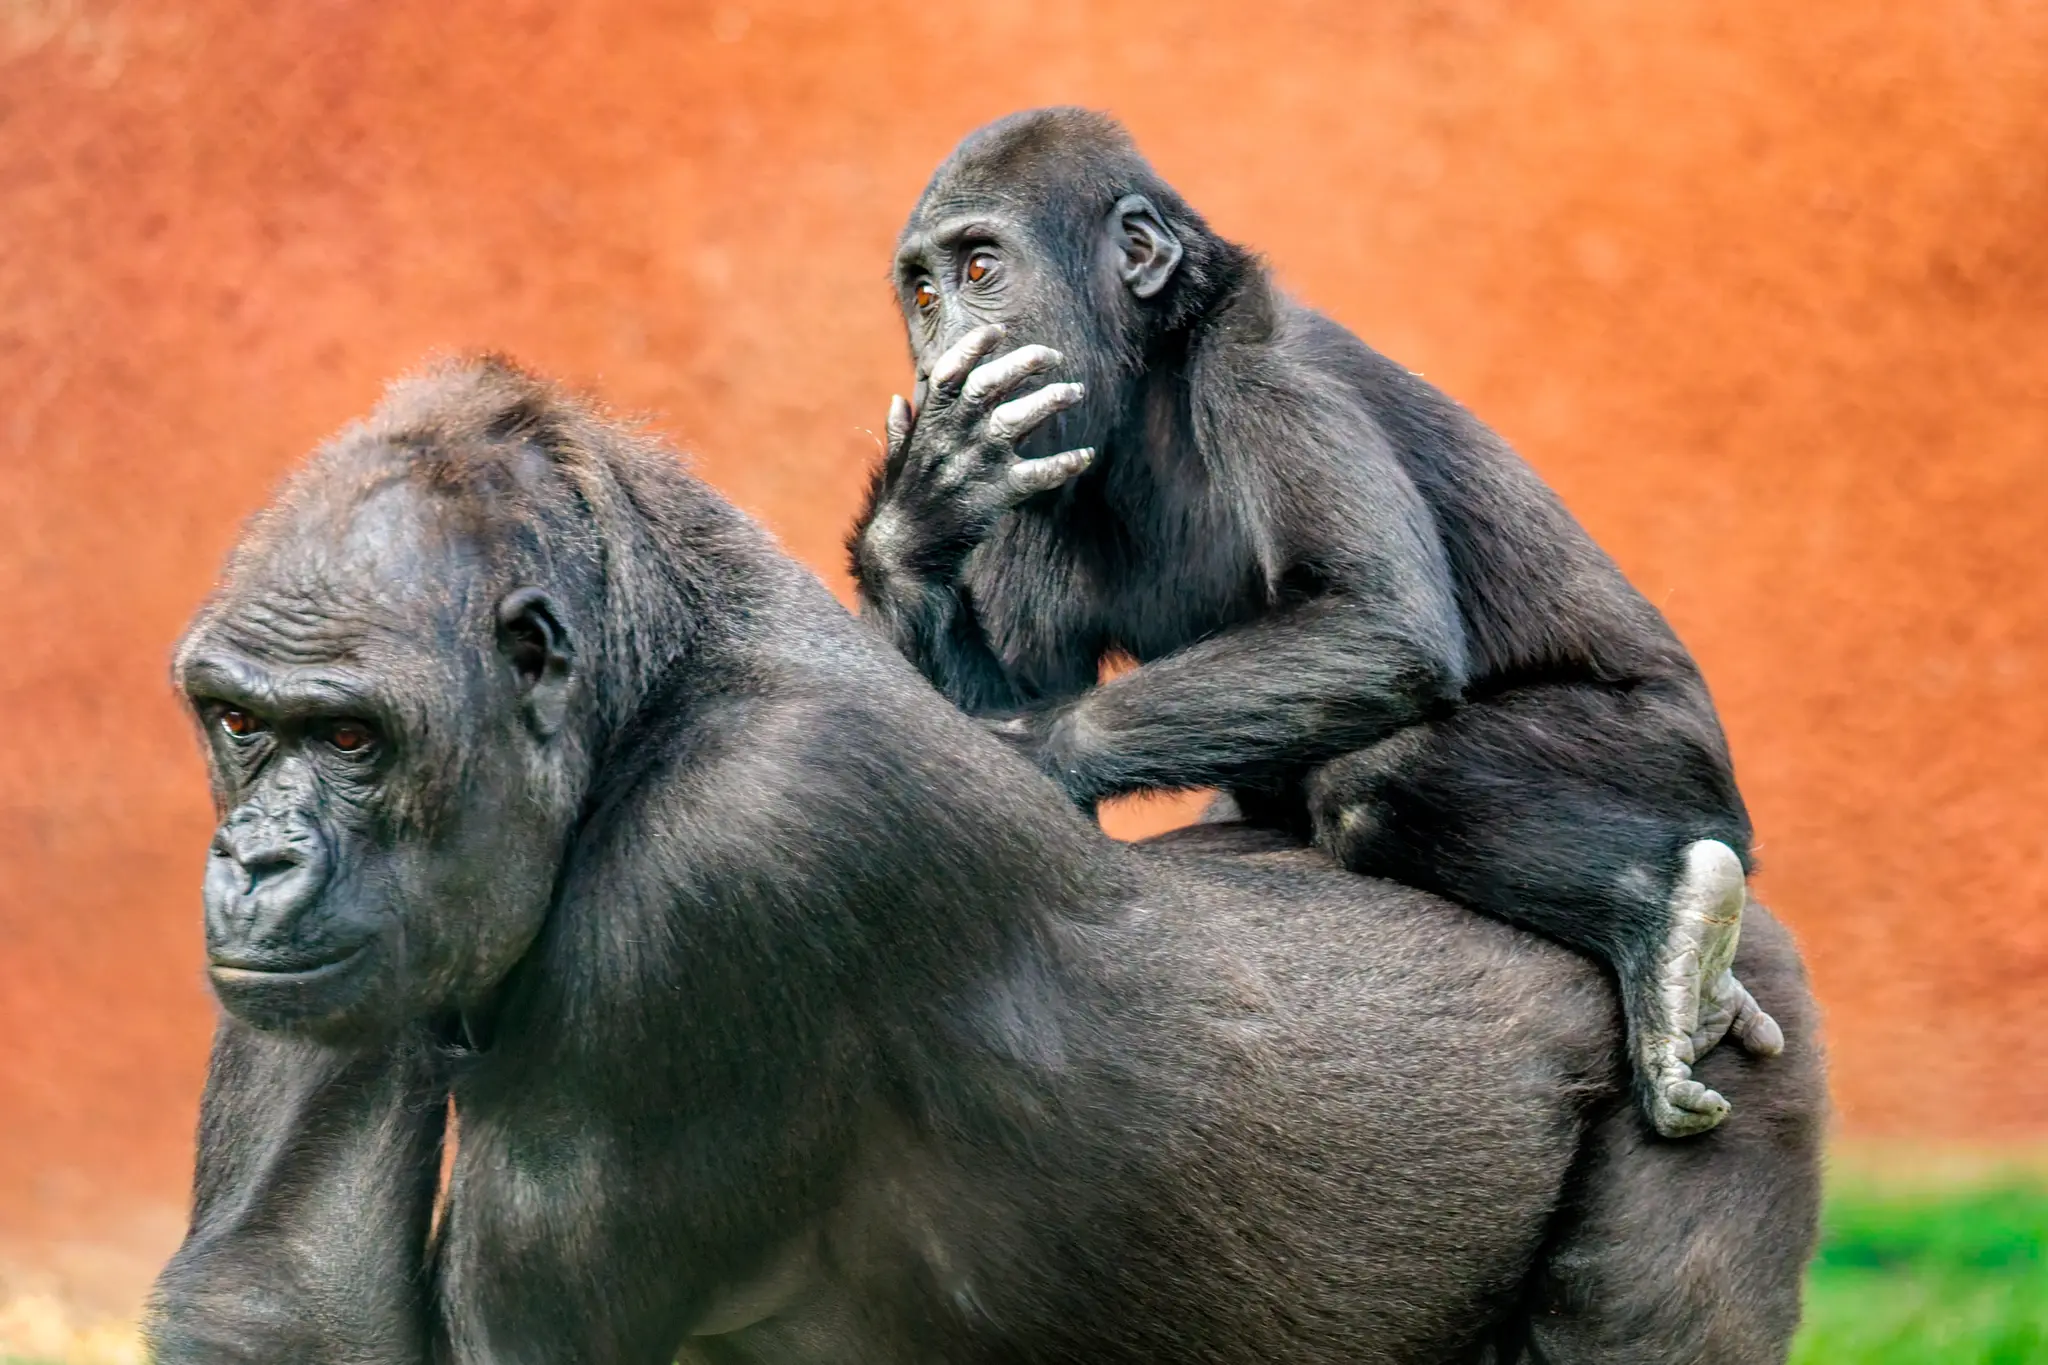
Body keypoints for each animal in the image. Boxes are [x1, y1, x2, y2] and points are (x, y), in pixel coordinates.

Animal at [148, 358, 1823, 1363]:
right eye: (237, 722)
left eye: (354, 738)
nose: (254, 863)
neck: (648, 688)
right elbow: (284, 1292)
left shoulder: (739, 861)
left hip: (1750, 1048)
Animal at [851, 107, 1783, 1138]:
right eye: (922, 293)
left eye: (980, 269)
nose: (939, 346)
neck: (1153, 363)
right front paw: (915, 524)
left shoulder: (1265, 372)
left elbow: (1378, 620)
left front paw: (1025, 748)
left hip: (1677, 762)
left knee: (1373, 779)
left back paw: (1659, 922)